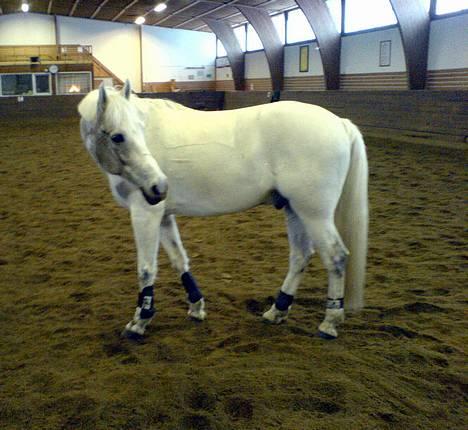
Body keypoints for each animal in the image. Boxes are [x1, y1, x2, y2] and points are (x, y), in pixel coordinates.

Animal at [77, 82, 370, 340]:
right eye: (117, 136)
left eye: (139, 129)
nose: (160, 186)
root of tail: (339, 123)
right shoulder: (163, 214)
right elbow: (179, 260)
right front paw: (196, 307)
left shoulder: (145, 212)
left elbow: (147, 269)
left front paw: (139, 321)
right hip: (294, 210)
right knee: (300, 256)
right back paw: (277, 311)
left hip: (315, 214)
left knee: (336, 257)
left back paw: (329, 322)